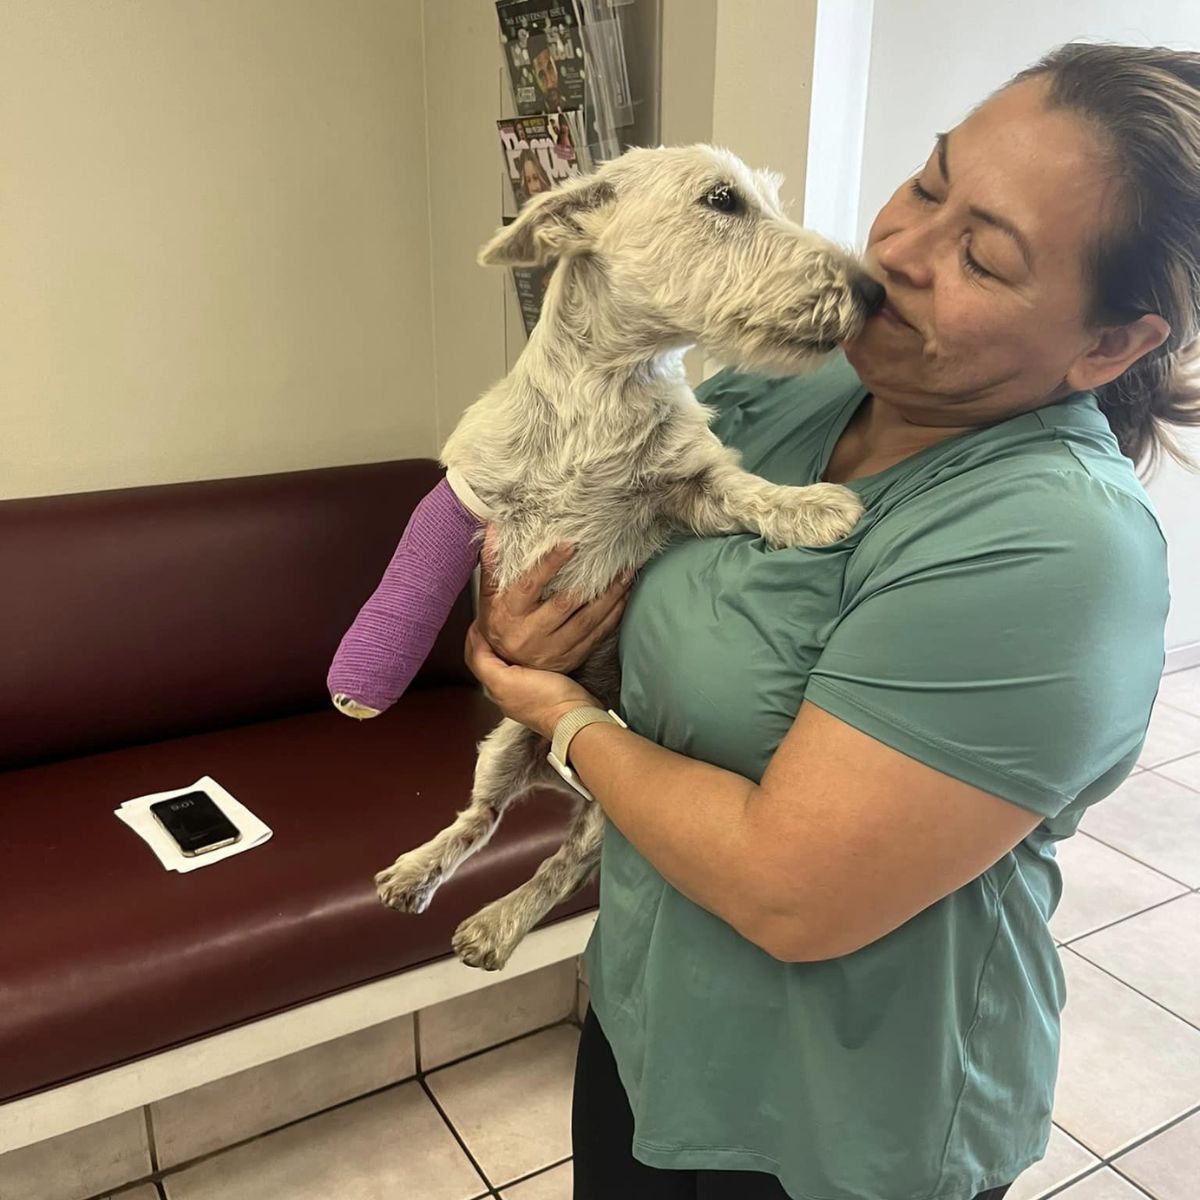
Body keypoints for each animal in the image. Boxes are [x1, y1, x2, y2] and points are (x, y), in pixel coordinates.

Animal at [372, 145, 883, 969]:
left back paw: (495, 923)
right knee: (480, 817)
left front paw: (812, 506)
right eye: (723, 200)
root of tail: (563, 772)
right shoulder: (476, 492)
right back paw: (420, 873)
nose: (873, 290)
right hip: (499, 743)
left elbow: (744, 490)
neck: (607, 389)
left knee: (565, 858)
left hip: (604, 801)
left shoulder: (689, 486)